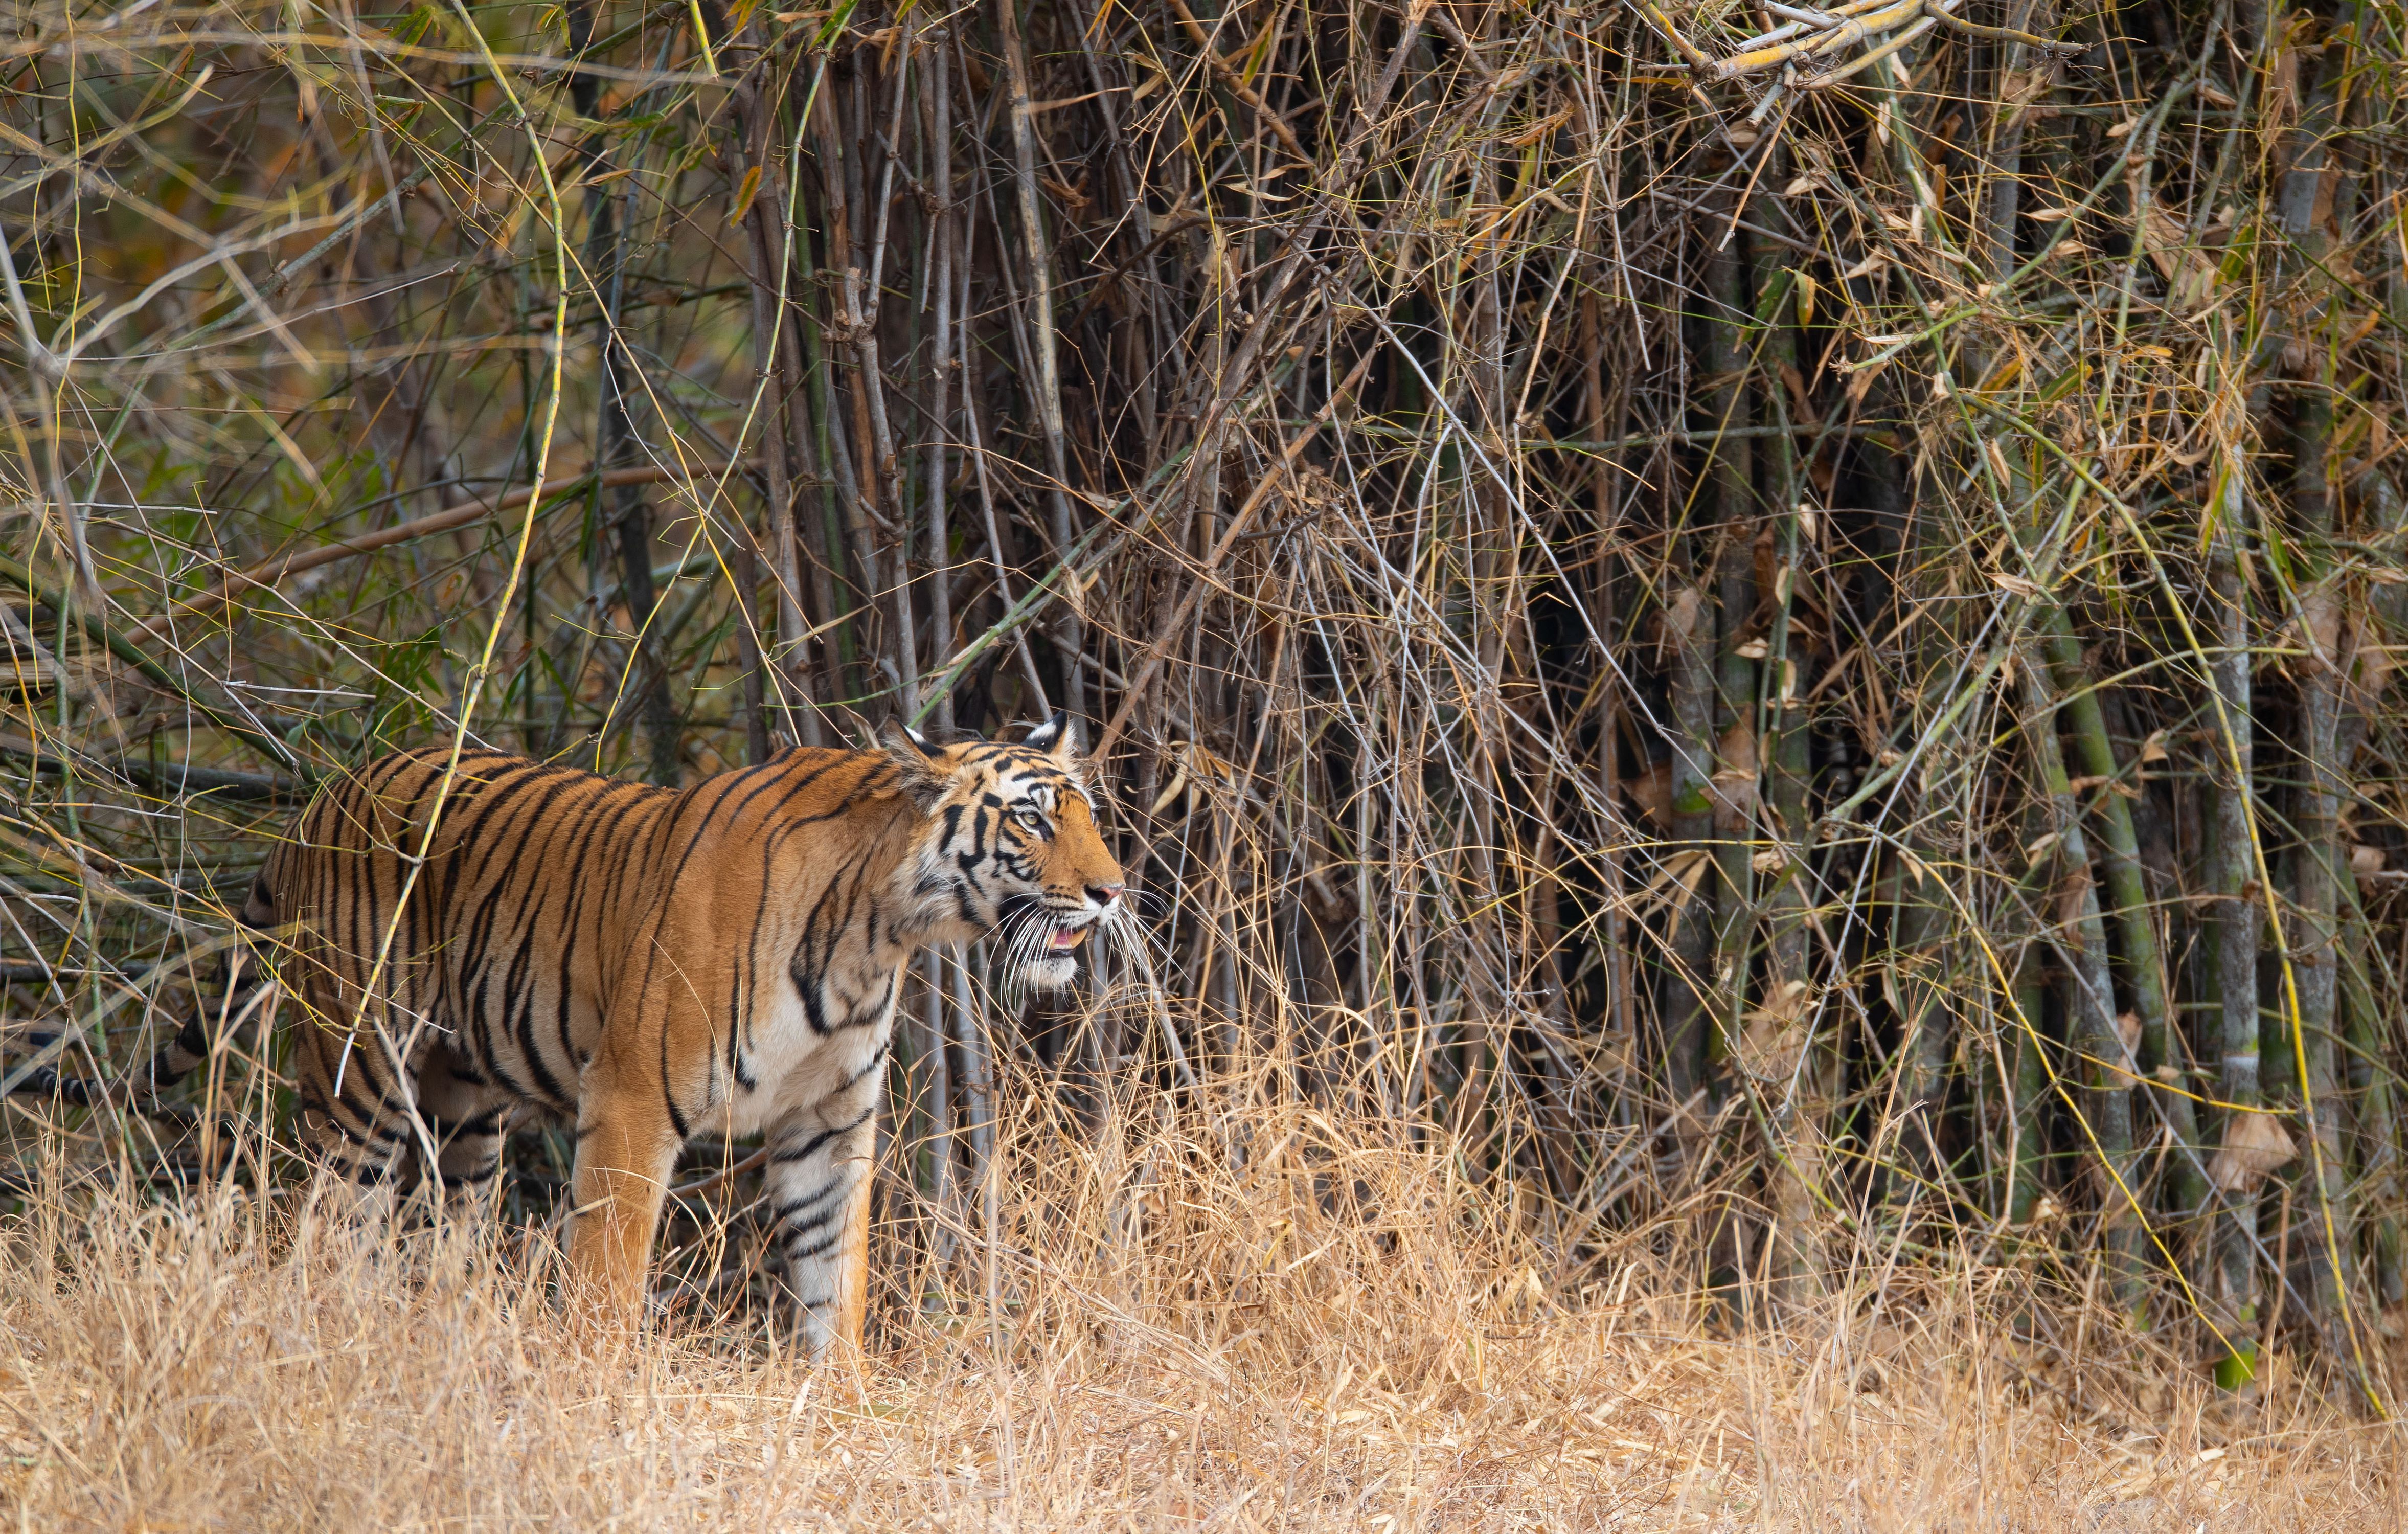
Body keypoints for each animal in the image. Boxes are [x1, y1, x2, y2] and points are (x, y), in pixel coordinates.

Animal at [71, 714, 1124, 1357]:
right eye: (1031, 821)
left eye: (1088, 816)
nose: (1114, 891)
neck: (878, 929)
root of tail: (323, 799)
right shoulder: (631, 1100)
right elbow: (610, 1274)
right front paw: (599, 1389)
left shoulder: (830, 1123)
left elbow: (838, 1278)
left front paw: (846, 1407)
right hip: (360, 1069)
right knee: (330, 1222)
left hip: (464, 1110)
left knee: (442, 1234)